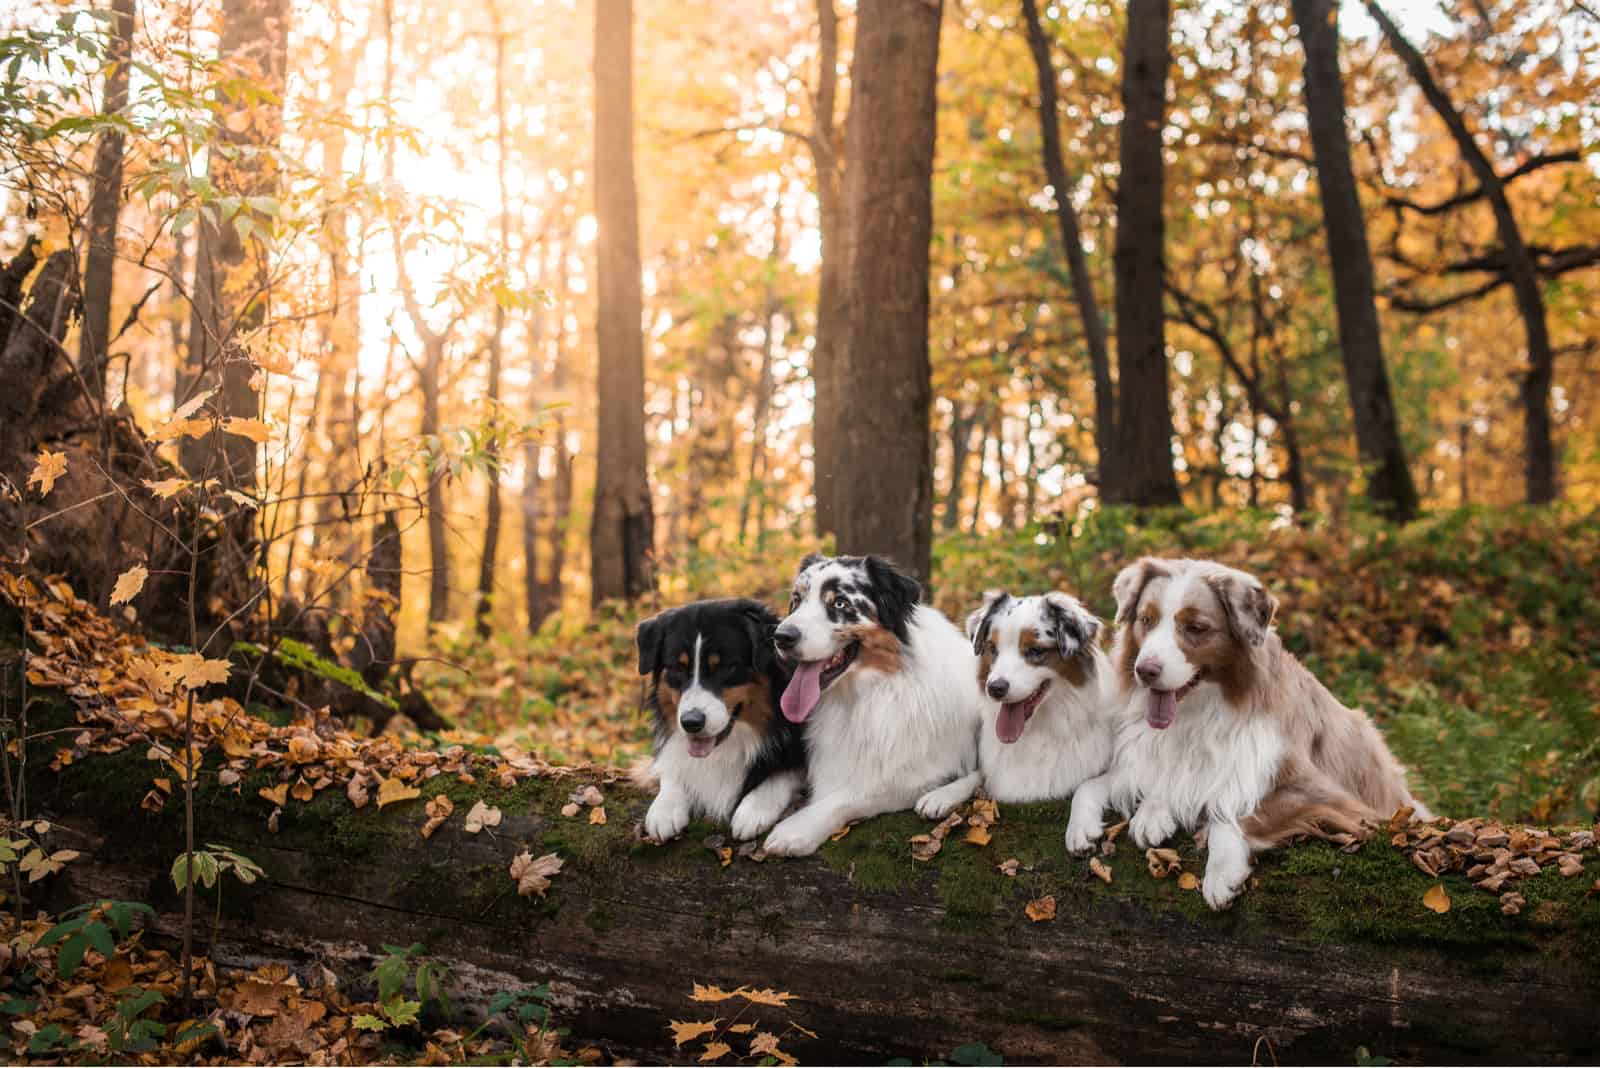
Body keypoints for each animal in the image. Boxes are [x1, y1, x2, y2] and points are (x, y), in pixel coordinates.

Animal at [633, 601, 806, 844]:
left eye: (724, 667)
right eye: (677, 668)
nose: (691, 723)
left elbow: (784, 772)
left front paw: (754, 808)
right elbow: (672, 765)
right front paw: (665, 808)